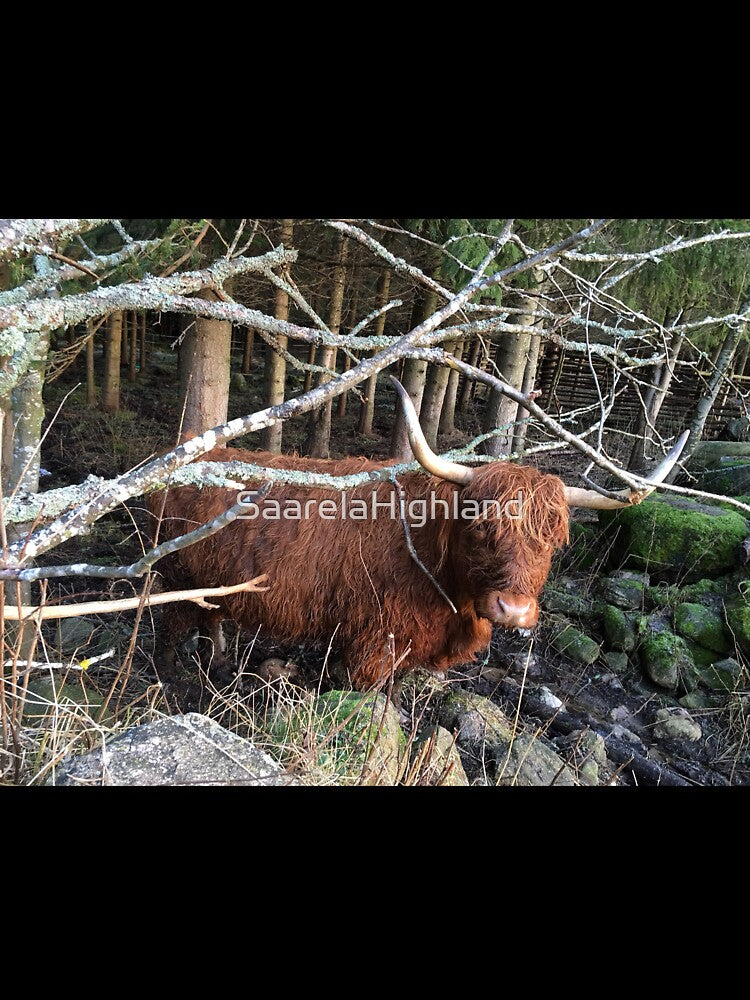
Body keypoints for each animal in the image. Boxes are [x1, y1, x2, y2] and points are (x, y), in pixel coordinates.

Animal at [149, 378, 687, 691]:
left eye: (554, 543)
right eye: (481, 526)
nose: (513, 610)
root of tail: (184, 457)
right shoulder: (373, 642)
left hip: (213, 583)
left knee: (212, 617)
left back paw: (220, 664)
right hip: (174, 576)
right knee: (169, 628)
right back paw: (169, 678)